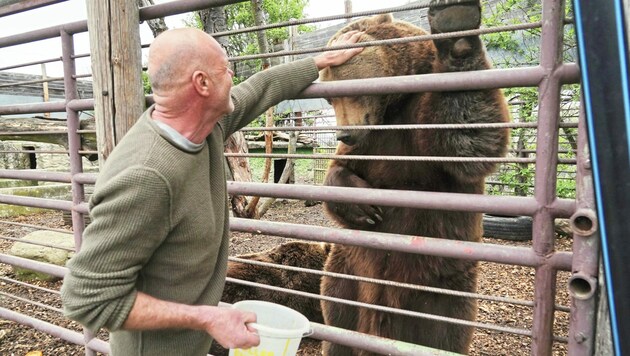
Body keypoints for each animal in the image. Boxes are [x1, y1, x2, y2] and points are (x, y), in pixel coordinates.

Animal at [318, 1, 512, 354]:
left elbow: (469, 140)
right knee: (338, 308)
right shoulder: (369, 145)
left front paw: (455, 26)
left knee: (445, 329)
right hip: (346, 268)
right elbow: (338, 172)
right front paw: (365, 208)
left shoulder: (420, 119)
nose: (344, 133)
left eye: (348, 91)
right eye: (330, 98)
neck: (391, 108)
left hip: (443, 284)